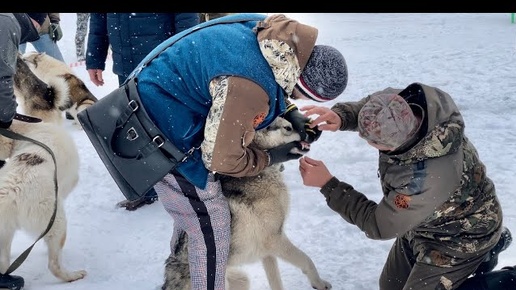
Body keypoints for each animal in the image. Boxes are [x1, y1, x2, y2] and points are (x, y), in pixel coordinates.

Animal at [0, 119, 87, 282]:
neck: (27, 129)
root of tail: (11, 191)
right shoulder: (70, 180)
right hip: (55, 219)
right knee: (54, 264)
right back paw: (72, 275)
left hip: (5, 231)